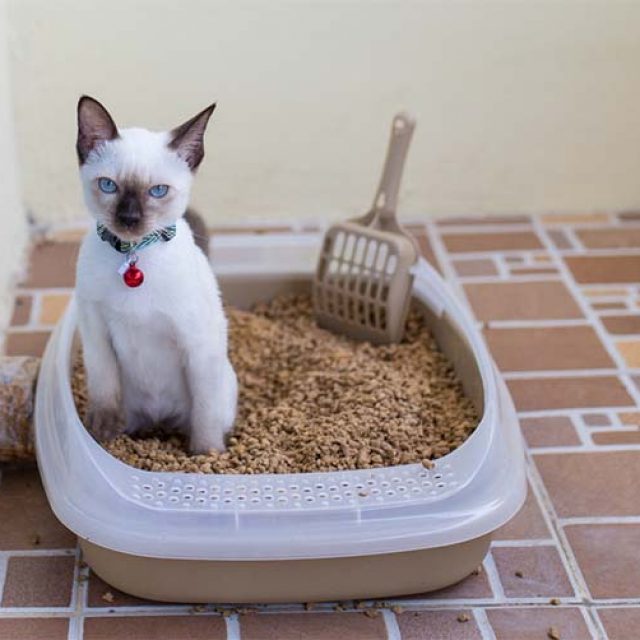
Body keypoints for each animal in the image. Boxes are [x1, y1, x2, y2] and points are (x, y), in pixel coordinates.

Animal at [75, 96, 237, 453]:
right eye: (108, 185)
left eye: (158, 191)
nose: (129, 219)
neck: (133, 254)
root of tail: (158, 420)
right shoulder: (95, 331)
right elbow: (104, 390)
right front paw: (101, 435)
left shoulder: (196, 343)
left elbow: (205, 414)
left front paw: (205, 455)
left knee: (207, 415)